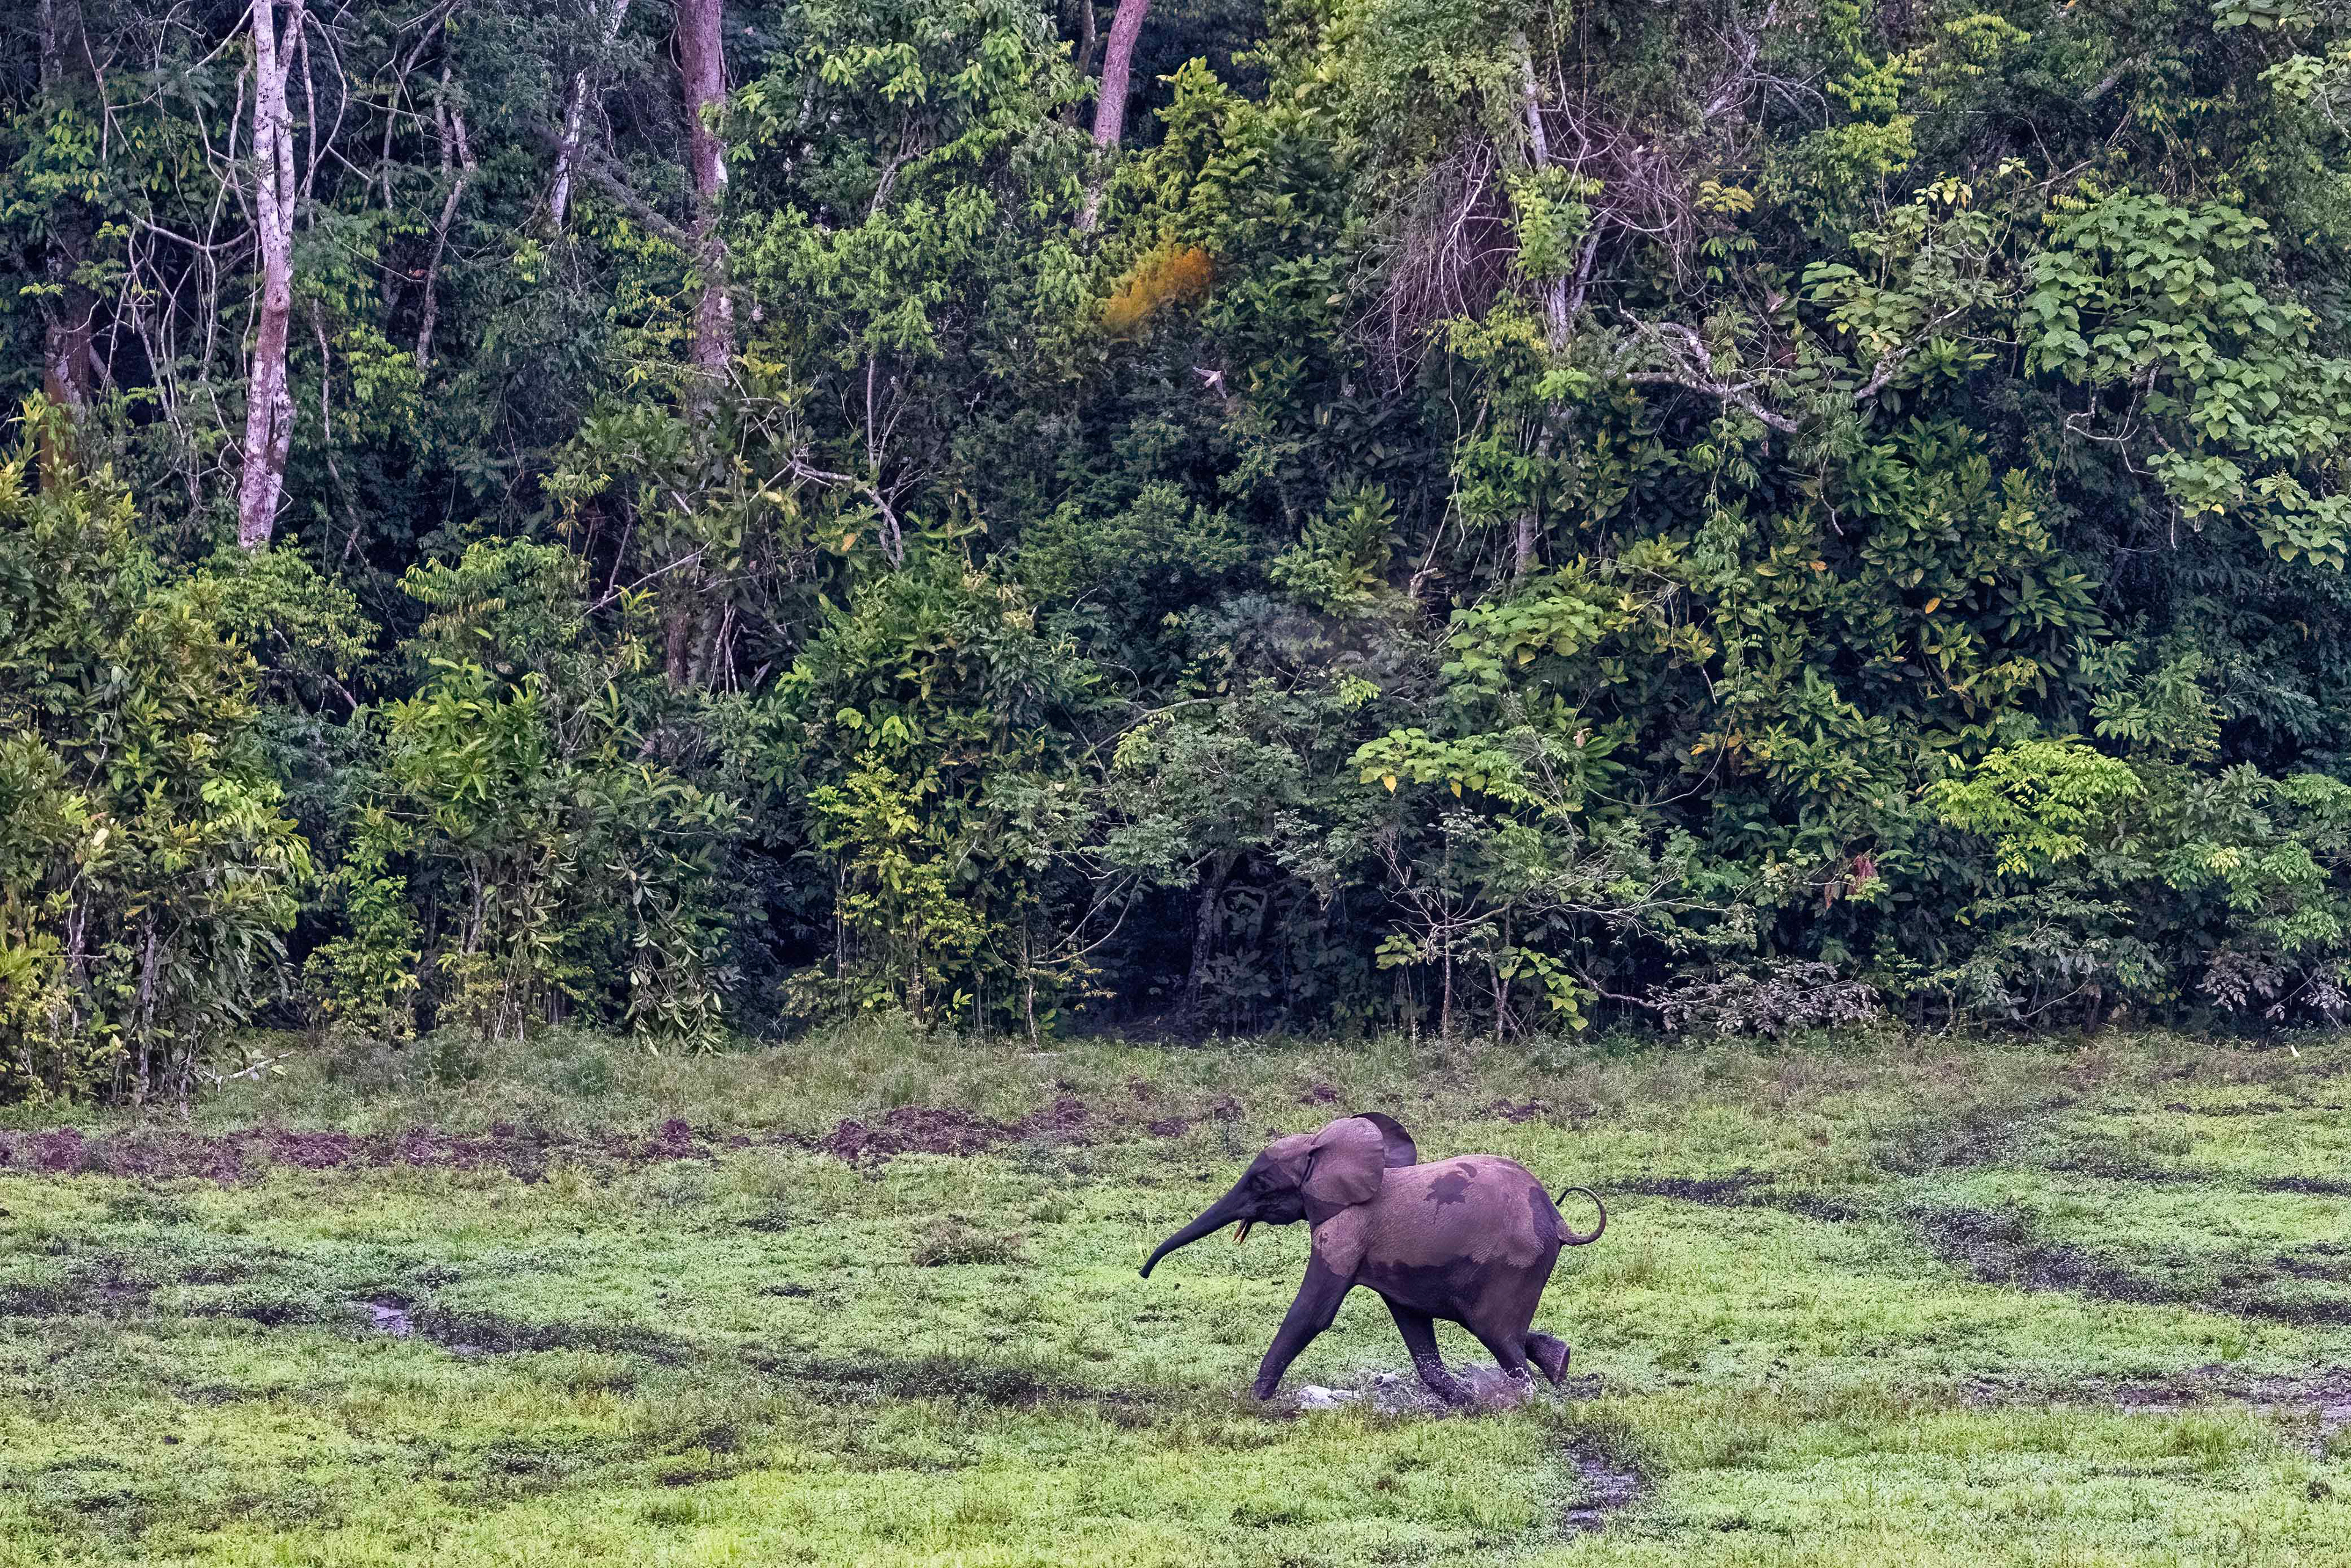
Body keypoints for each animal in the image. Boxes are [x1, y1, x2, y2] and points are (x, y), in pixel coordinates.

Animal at [1139, 1111, 1605, 1405]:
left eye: (1259, 1182)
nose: (1144, 1275)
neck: (1324, 1146)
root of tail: (1559, 1219)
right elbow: (1413, 1323)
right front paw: (1463, 1401)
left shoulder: (1345, 1232)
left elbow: (1312, 1314)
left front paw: (1254, 1402)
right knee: (1501, 1330)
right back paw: (1558, 1362)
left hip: (1511, 1265)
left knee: (1495, 1332)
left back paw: (1525, 1396)